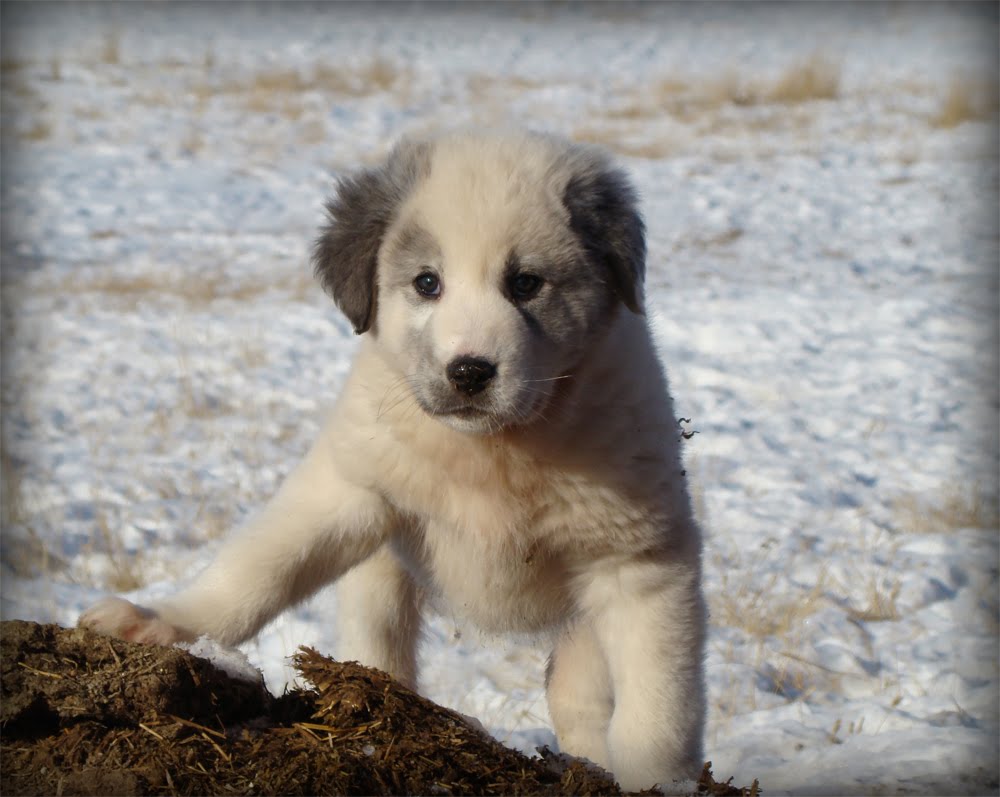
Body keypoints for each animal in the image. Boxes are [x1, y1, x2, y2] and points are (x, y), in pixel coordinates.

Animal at [82, 131, 708, 788]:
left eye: (526, 284)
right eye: (427, 283)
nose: (469, 371)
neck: (492, 451)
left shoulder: (641, 565)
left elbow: (658, 709)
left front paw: (662, 781)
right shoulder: (349, 489)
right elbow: (257, 570)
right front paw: (162, 621)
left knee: (582, 702)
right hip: (381, 572)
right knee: (380, 644)